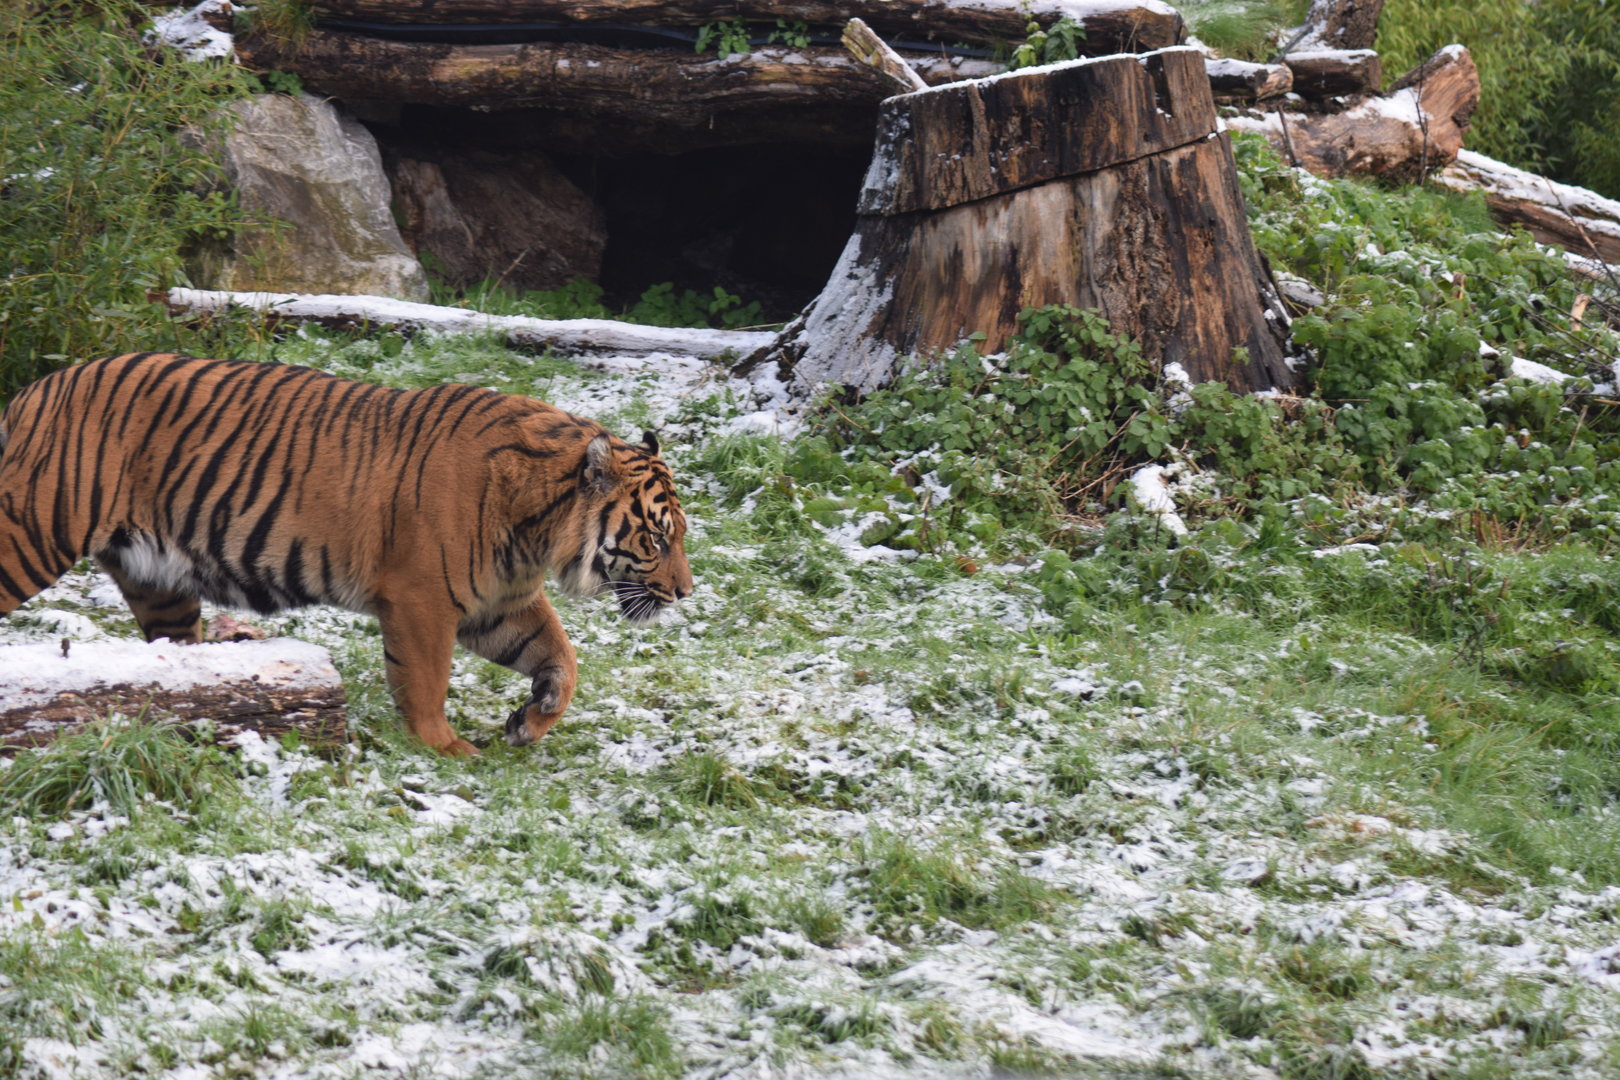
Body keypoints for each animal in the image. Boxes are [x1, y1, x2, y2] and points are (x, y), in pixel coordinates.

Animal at [0, 352, 692, 757]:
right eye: (657, 539)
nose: (685, 592)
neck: (537, 528)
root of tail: (33, 391)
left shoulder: (498, 602)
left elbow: (563, 659)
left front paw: (531, 719)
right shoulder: (422, 598)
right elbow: (426, 681)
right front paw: (446, 748)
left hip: (159, 582)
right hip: (32, 532)